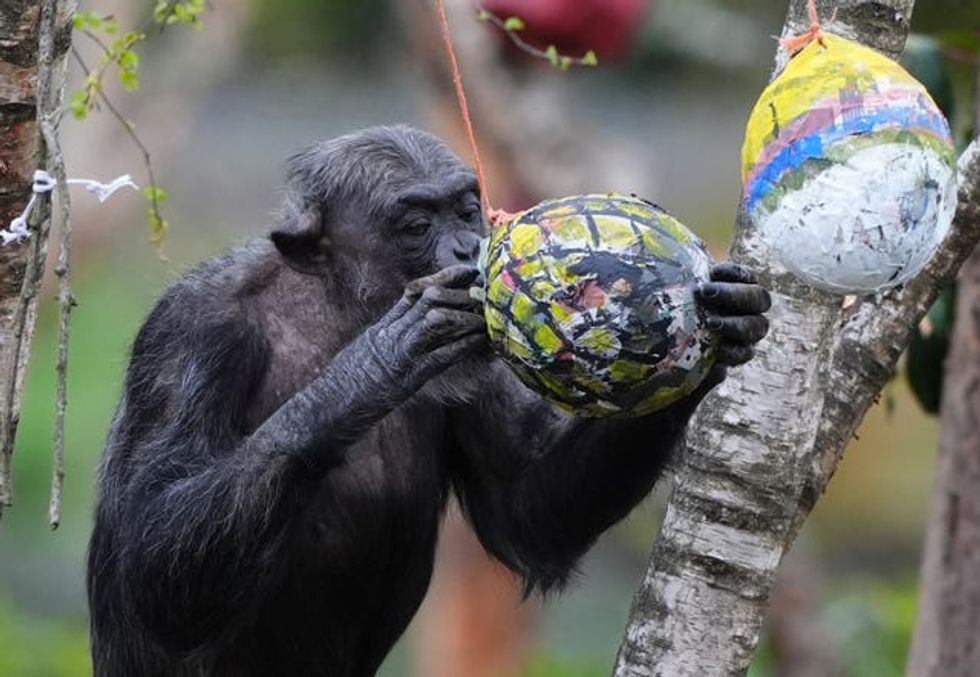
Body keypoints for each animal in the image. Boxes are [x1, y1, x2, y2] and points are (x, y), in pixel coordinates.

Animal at [87, 125, 771, 677]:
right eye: (417, 226)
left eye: (467, 211)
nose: (469, 249)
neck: (338, 305)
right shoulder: (190, 334)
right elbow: (152, 556)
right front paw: (385, 356)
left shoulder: (481, 368)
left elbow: (527, 516)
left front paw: (723, 327)